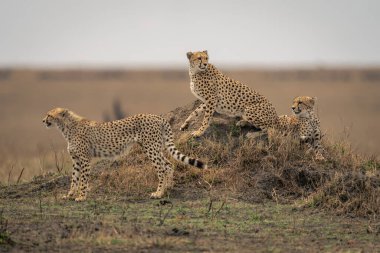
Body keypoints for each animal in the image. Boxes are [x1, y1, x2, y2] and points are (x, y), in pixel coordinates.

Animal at [43, 107, 206, 202]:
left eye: (49, 115)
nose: (43, 120)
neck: (67, 127)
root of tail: (157, 116)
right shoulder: (76, 160)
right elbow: (74, 179)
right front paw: (69, 195)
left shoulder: (85, 159)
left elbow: (82, 180)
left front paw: (81, 197)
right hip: (155, 148)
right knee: (169, 164)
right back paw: (168, 187)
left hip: (151, 148)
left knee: (161, 168)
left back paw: (159, 192)